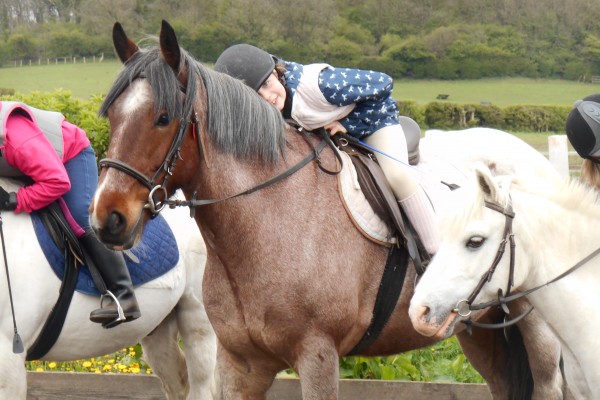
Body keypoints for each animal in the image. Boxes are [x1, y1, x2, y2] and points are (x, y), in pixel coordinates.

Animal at [91, 21, 568, 400]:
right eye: (111, 115)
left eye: (163, 117)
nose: (107, 219)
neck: (267, 218)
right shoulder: (241, 364)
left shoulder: (317, 355)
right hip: (481, 332)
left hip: (537, 330)